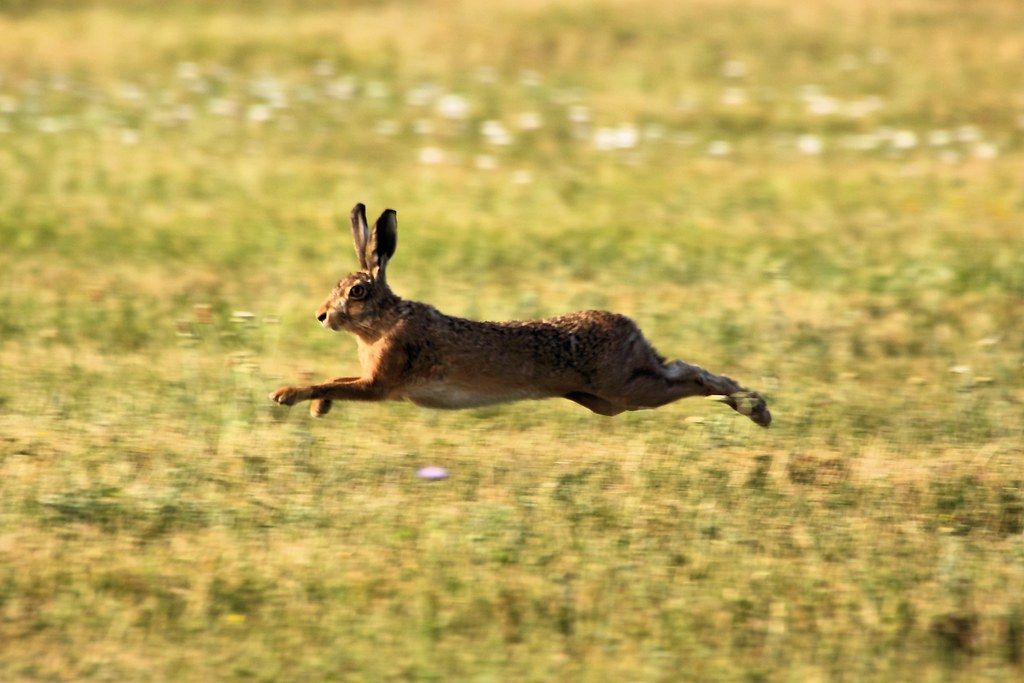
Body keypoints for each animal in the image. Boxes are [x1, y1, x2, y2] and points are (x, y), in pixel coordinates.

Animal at [270, 203, 771, 427]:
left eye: (356, 291)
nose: (320, 316)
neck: (384, 320)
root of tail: (631, 329)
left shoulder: (382, 383)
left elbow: (337, 381)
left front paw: (287, 395)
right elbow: (336, 379)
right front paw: (317, 407)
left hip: (622, 390)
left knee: (689, 379)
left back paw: (755, 409)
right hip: (607, 396)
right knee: (680, 368)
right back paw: (750, 403)